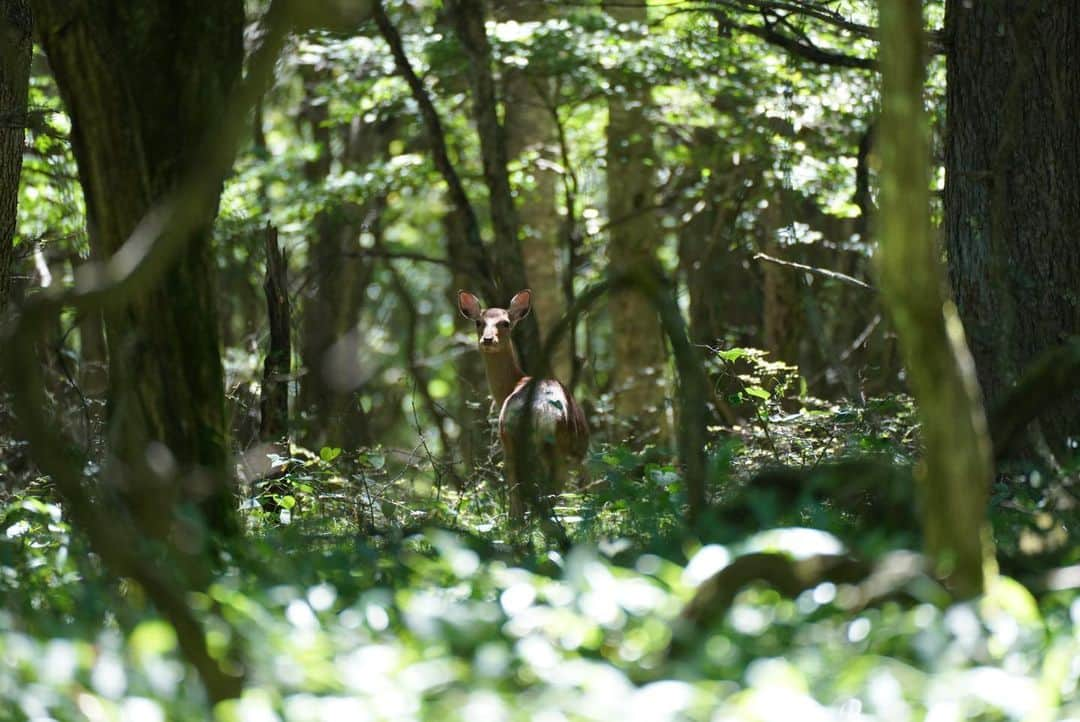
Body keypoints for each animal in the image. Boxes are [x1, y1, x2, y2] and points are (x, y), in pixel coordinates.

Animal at [457, 287, 591, 518]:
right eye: (479, 322)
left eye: (505, 323)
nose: (488, 339)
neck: (513, 383)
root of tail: (544, 410)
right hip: (567, 448)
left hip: (515, 436)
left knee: (519, 483)